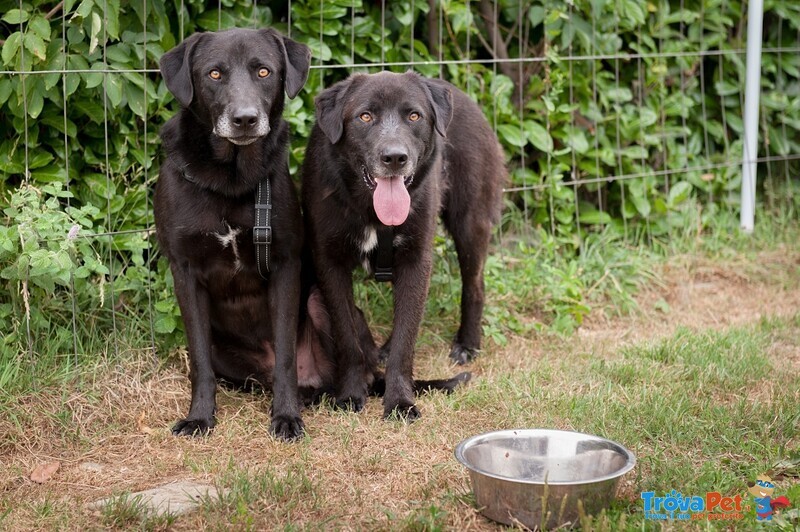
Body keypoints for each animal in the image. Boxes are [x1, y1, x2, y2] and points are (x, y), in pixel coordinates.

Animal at [155, 27, 310, 438]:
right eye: (214, 74)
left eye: (263, 71)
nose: (245, 119)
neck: (230, 179)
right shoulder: (185, 272)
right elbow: (198, 360)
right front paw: (199, 417)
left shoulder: (285, 265)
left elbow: (286, 356)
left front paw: (286, 416)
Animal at [300, 69, 506, 420]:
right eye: (365, 116)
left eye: (414, 116)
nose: (395, 157)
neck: (370, 208)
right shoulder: (330, 262)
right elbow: (347, 336)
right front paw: (351, 395)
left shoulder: (416, 260)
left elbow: (406, 340)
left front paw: (400, 402)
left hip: (470, 223)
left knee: (475, 286)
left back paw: (467, 344)